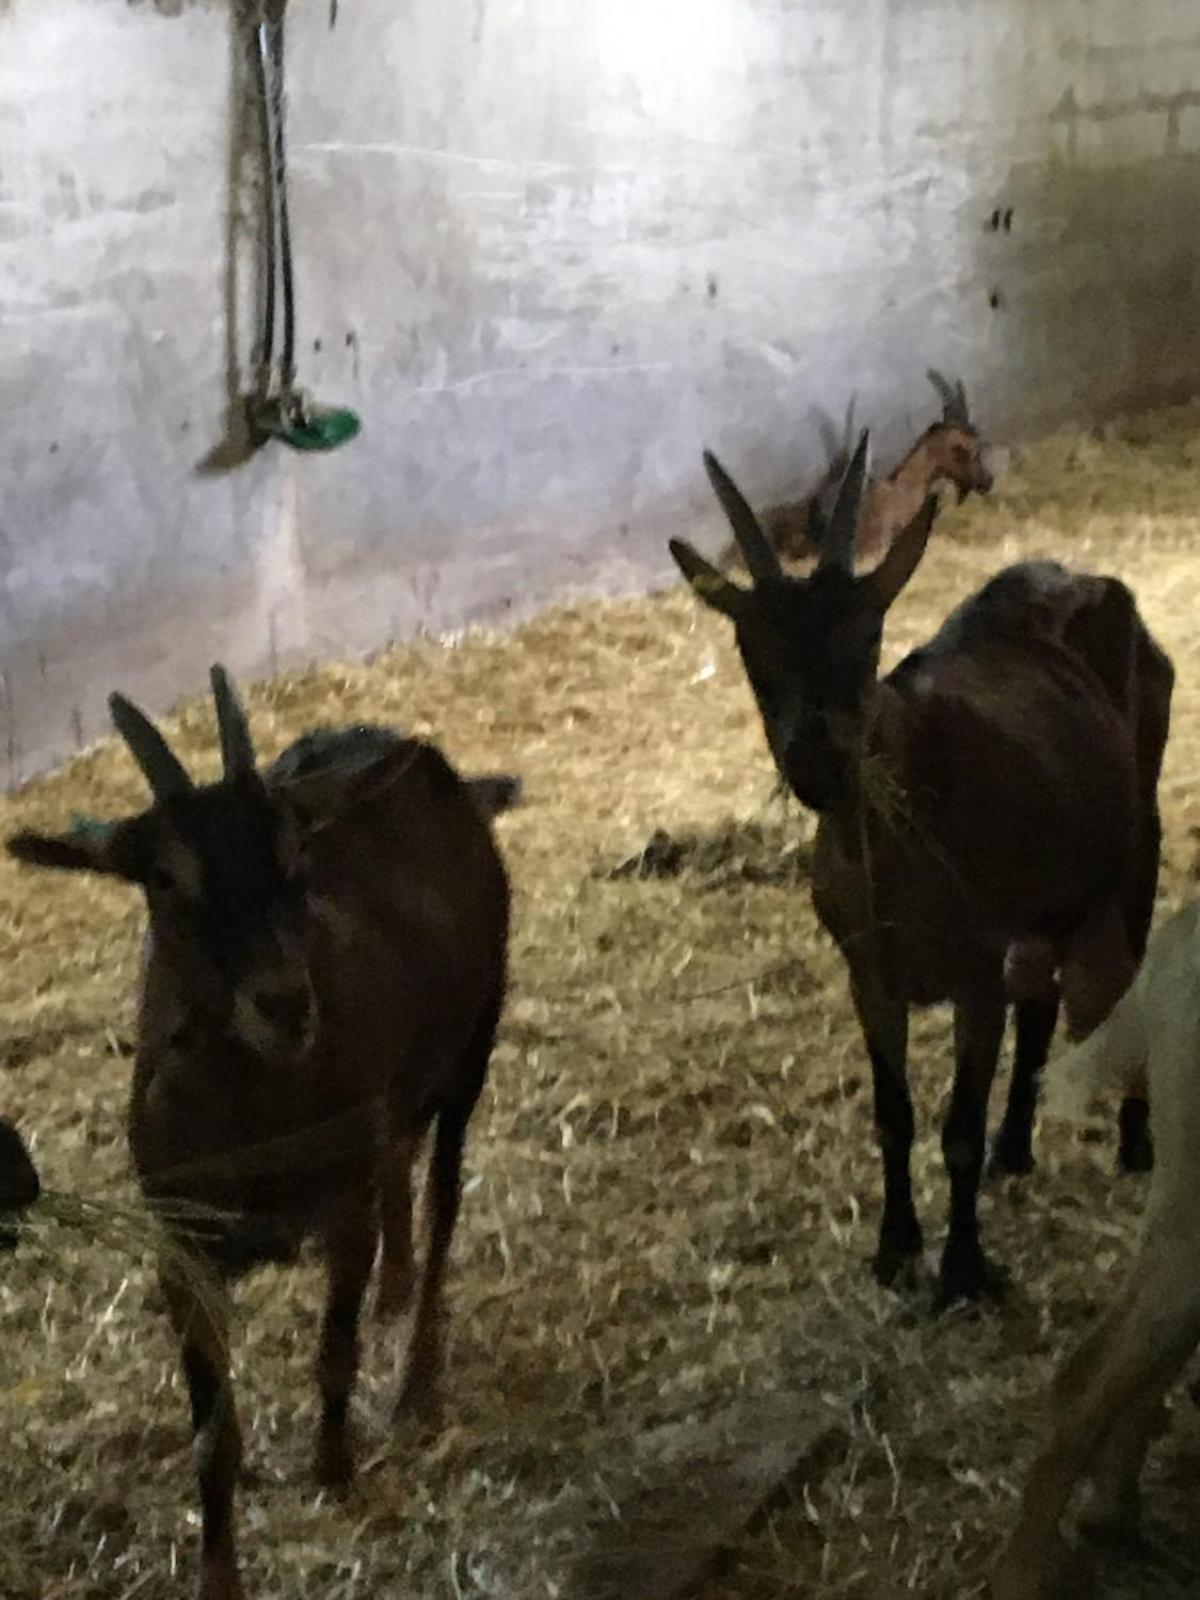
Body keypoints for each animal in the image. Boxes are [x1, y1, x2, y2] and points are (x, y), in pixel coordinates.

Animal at [8, 675, 518, 1600]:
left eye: (294, 853)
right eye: (162, 878)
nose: (284, 1004)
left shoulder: (341, 1205)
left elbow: (334, 1348)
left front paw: (333, 1469)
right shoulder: (180, 1244)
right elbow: (213, 1429)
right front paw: (219, 1569)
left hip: (473, 1043)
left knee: (444, 1196)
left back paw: (416, 1378)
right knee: (402, 1160)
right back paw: (396, 1292)